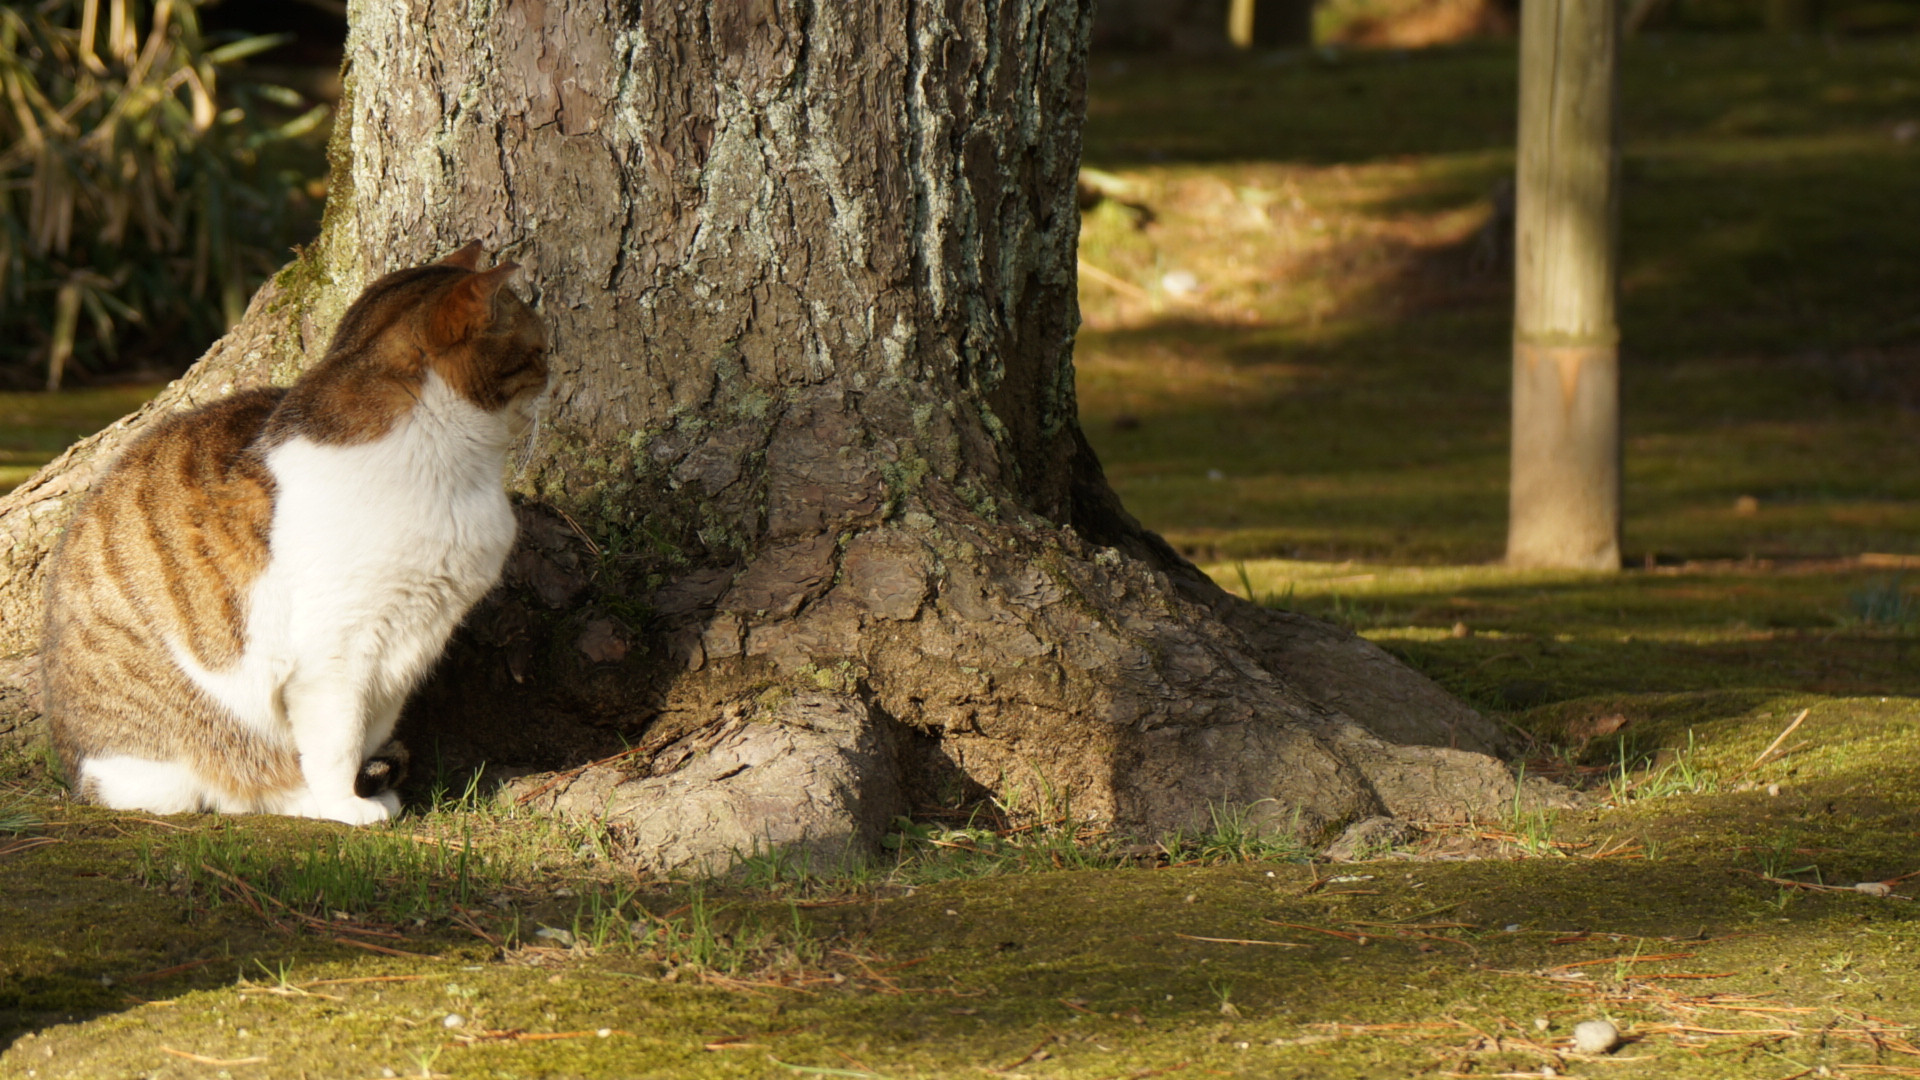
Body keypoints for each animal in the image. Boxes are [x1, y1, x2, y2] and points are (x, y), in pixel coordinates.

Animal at [43, 243, 548, 825]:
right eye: (539, 350)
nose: (555, 372)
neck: (455, 470)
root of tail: (75, 771)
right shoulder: (336, 652)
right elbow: (336, 741)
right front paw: (347, 805)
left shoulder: (408, 646)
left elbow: (366, 729)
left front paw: (350, 792)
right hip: (168, 759)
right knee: (220, 788)